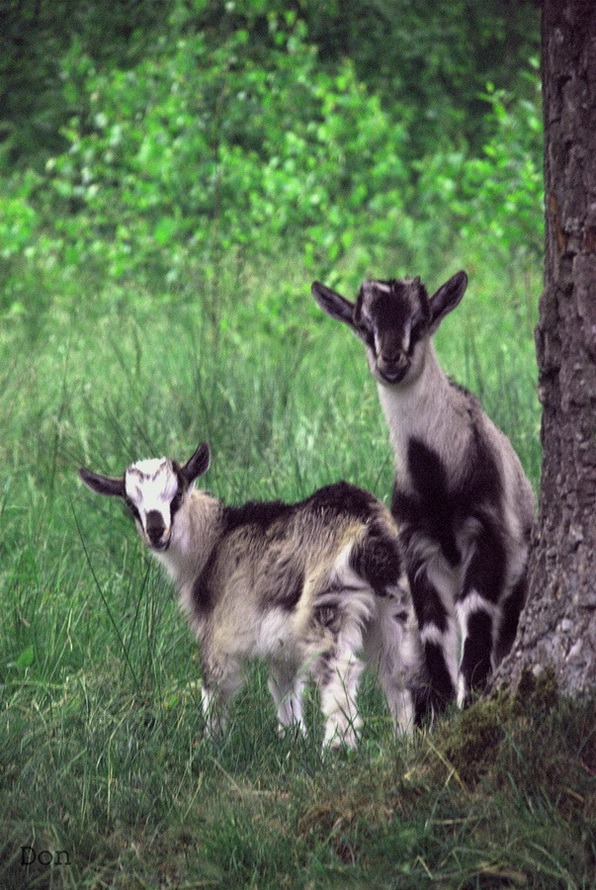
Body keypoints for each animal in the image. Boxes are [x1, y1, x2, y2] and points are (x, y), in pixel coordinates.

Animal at [78, 440, 424, 744]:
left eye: (176, 495)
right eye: (130, 504)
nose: (156, 532)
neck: (214, 541)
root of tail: (370, 529)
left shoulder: (216, 631)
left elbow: (216, 686)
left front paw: (212, 743)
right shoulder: (279, 640)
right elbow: (282, 683)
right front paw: (292, 738)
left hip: (328, 603)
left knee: (339, 669)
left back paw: (337, 748)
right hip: (396, 604)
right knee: (399, 668)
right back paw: (404, 740)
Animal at [312, 270, 536, 708]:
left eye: (419, 321)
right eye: (364, 326)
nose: (391, 360)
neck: (438, 481)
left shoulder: (487, 536)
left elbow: (476, 615)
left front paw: (471, 697)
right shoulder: (418, 549)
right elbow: (434, 630)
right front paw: (444, 706)